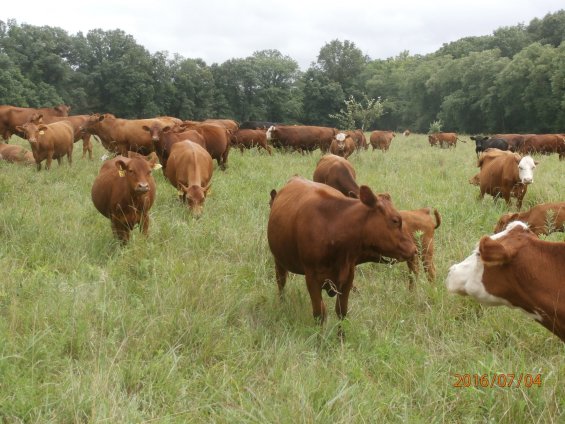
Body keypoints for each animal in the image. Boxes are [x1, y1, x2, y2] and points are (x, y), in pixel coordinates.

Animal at [264, 177, 414, 326]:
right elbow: (319, 315)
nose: (414, 249)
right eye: (395, 220)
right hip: (279, 261)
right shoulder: (312, 278)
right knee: (281, 283)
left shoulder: (348, 277)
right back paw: (282, 305)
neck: (333, 227)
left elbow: (341, 312)